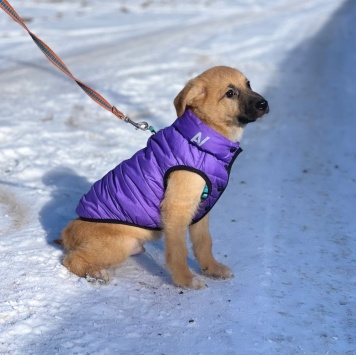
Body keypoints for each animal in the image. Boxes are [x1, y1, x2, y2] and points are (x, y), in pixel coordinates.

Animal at [59, 66, 270, 290]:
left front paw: (212, 269)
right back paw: (96, 273)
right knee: (71, 259)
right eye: (230, 93)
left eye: (248, 84)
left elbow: (204, 242)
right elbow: (179, 250)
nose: (264, 104)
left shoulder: (201, 210)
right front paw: (185, 280)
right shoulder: (176, 209)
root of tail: (67, 233)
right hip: (119, 242)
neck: (201, 141)